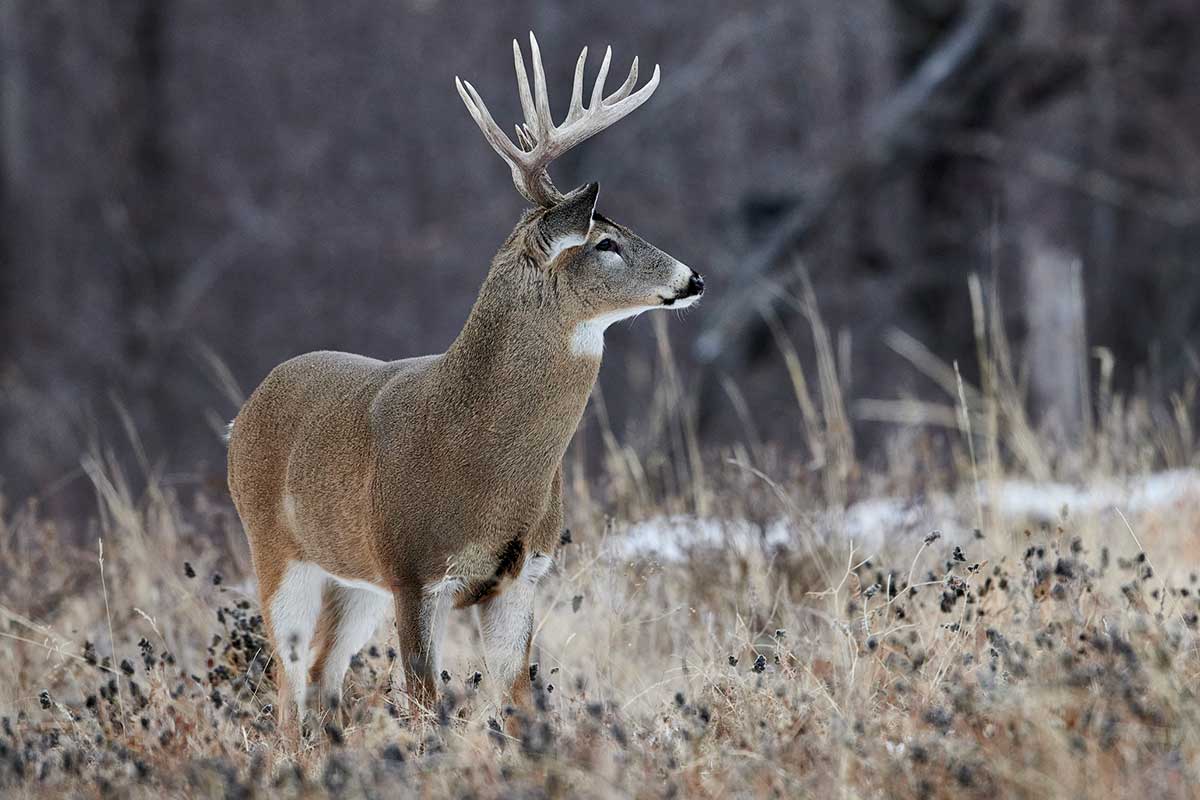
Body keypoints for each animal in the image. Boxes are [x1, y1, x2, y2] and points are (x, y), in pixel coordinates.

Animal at [226, 33, 703, 740]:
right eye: (606, 242)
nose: (693, 277)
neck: (481, 458)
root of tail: (244, 412)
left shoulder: (523, 576)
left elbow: (518, 700)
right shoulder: (413, 571)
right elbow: (426, 706)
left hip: (356, 581)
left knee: (320, 672)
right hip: (278, 550)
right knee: (287, 686)